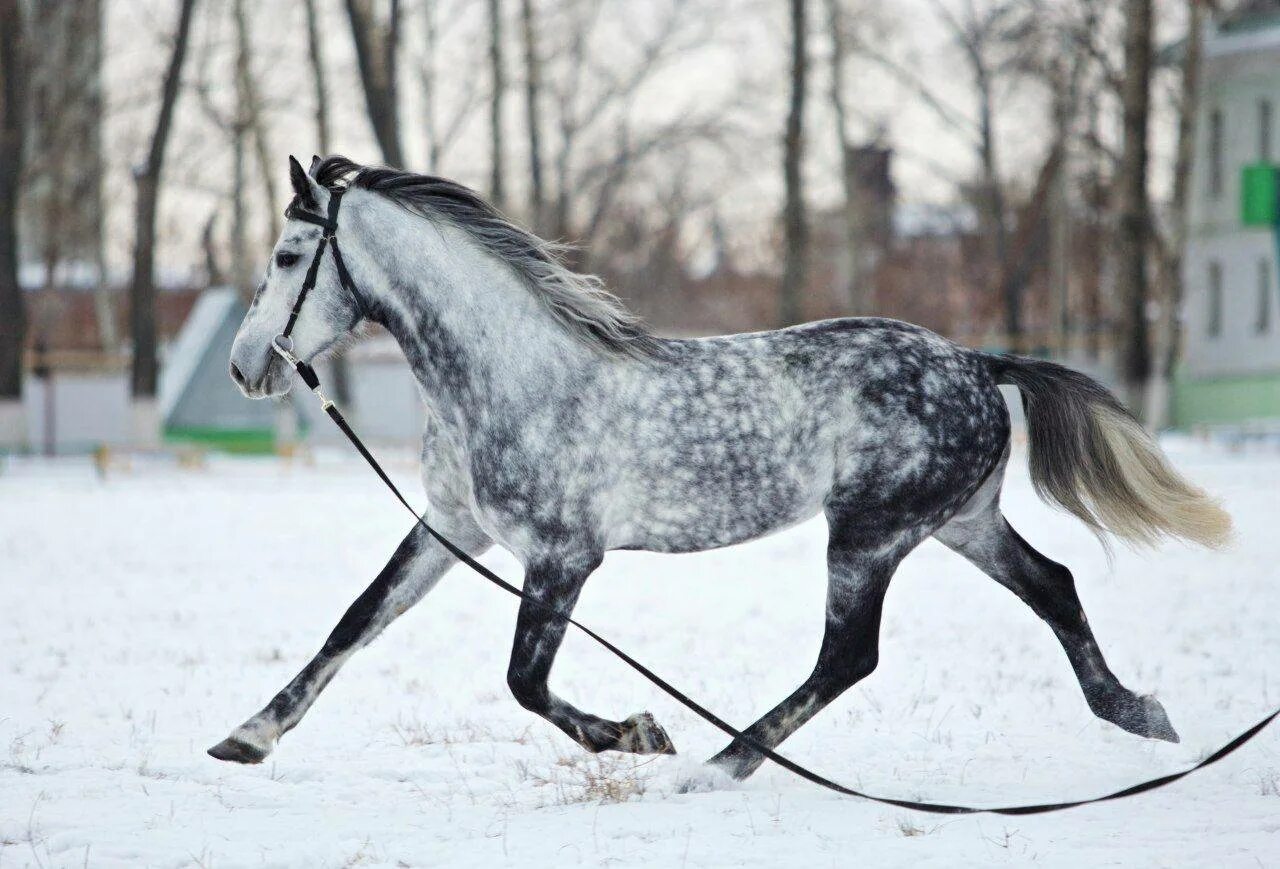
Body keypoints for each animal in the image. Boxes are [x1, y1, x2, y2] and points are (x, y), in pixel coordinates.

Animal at [209, 154, 1228, 783]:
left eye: (289, 254)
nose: (246, 366)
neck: (512, 374)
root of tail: (979, 362)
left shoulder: (563, 556)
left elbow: (525, 681)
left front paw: (641, 733)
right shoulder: (453, 527)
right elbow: (357, 620)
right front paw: (246, 738)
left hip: (869, 535)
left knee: (847, 656)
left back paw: (716, 766)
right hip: (958, 523)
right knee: (1053, 585)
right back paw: (1140, 712)